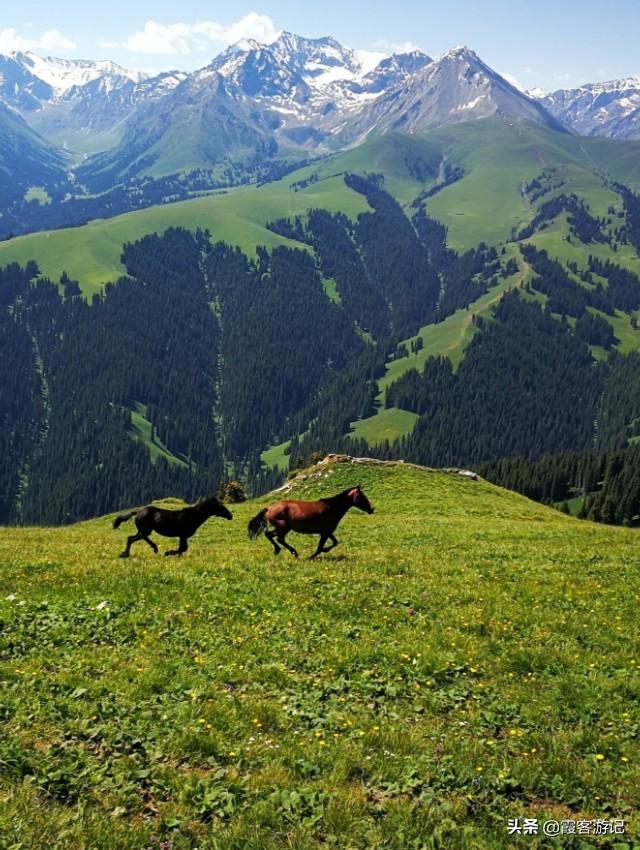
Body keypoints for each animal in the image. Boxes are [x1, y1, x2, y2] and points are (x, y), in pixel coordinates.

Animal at [246, 484, 376, 556]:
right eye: (360, 496)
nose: (371, 509)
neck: (332, 508)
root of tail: (269, 508)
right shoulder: (325, 533)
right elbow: (320, 547)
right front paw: (314, 555)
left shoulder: (327, 532)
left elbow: (335, 542)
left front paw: (324, 550)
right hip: (283, 527)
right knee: (278, 538)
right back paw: (293, 552)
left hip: (282, 528)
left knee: (270, 535)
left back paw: (279, 551)